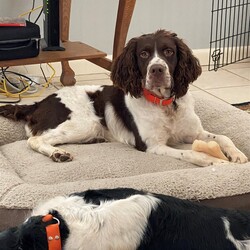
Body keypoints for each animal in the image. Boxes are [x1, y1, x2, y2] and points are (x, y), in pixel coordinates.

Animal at [0, 29, 247, 166]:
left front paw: (237, 155)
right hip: (84, 123)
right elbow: (191, 154)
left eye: (168, 51)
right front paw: (215, 160)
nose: (157, 70)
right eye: (144, 54)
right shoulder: (151, 145)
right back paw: (58, 154)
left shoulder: (193, 132)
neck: (164, 105)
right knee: (35, 140)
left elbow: (223, 137)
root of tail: (37, 104)